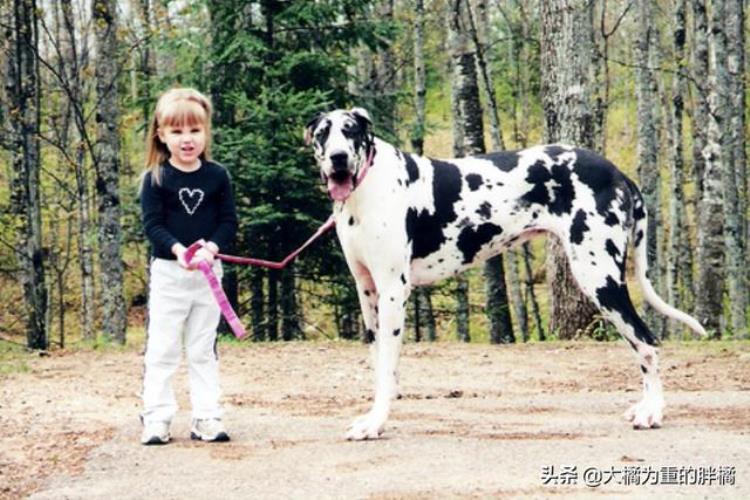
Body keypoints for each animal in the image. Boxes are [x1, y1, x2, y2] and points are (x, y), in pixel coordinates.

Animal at [306, 107, 704, 440]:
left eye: (351, 130)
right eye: (323, 134)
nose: (338, 158)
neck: (366, 189)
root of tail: (618, 173)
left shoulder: (392, 291)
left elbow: (387, 365)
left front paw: (375, 423)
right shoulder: (368, 291)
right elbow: (379, 363)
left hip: (600, 279)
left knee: (647, 342)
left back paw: (652, 412)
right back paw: (645, 407)